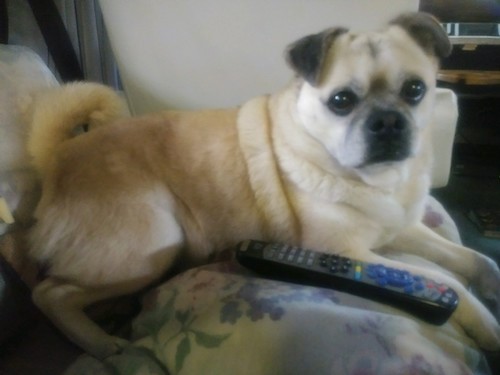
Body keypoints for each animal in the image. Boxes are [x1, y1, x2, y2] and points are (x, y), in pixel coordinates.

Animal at [27, 11, 500, 358]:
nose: (387, 121)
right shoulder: (348, 253)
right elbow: (447, 283)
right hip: (154, 243)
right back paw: (97, 340)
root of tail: (58, 159)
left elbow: (471, 260)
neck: (375, 180)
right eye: (341, 102)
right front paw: (487, 325)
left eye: (416, 91)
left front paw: (491, 279)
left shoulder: (403, 229)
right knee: (50, 292)